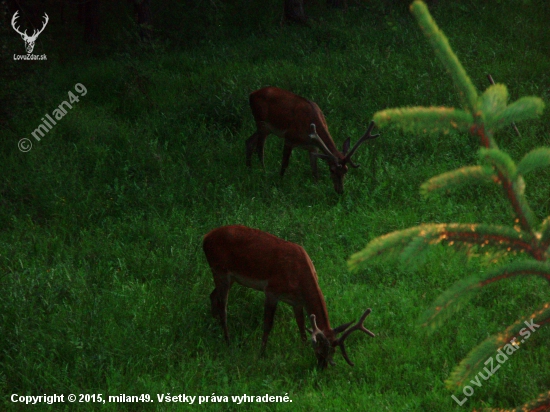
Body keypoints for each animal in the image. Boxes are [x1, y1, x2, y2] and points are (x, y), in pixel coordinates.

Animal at [205, 224, 378, 368]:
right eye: (319, 350)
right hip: (220, 270)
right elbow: (268, 325)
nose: (322, 367)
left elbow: (301, 324)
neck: (300, 276)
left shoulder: (297, 301)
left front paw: (302, 347)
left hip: (228, 277)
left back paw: (214, 325)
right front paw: (261, 353)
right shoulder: (271, 291)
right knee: (223, 307)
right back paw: (228, 342)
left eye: (333, 351)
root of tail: (205, 237)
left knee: (212, 296)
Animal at [247, 85, 380, 195]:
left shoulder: (313, 147)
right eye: (331, 170)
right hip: (261, 122)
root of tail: (251, 94)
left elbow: (315, 171)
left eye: (346, 170)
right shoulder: (289, 138)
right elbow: (284, 164)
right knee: (259, 149)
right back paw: (263, 172)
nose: (340, 191)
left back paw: (249, 169)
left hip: (265, 128)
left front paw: (317, 187)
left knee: (249, 141)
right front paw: (280, 183)